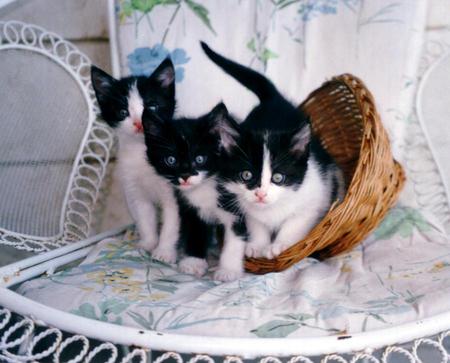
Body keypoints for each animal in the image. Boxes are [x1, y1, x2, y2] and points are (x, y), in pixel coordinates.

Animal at [89, 60, 181, 264]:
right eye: (123, 112)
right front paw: (148, 243)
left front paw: (164, 252)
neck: (142, 152)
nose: (139, 123)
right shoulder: (134, 189)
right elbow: (145, 218)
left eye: (152, 107)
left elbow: (172, 222)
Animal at [200, 42, 344, 264]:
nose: (260, 193)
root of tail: (274, 100)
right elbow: (256, 223)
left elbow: (295, 224)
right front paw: (257, 245)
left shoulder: (314, 198)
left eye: (278, 177)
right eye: (246, 175)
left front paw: (279, 245)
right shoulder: (246, 207)